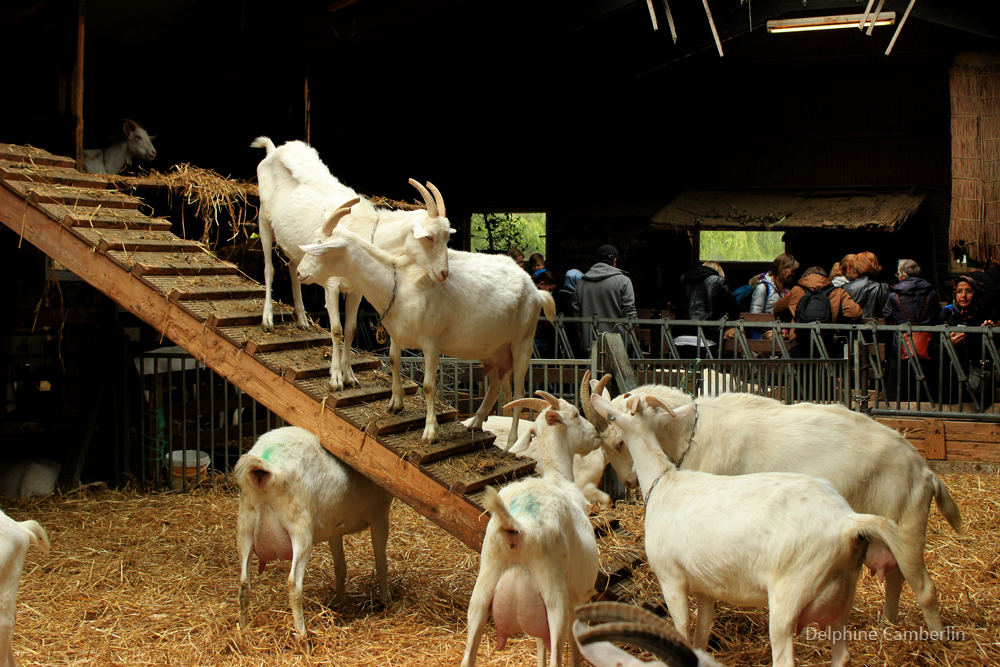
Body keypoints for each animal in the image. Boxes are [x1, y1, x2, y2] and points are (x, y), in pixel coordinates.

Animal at [235, 426, 394, 639]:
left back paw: (243, 630)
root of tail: (265, 470)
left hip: (245, 524)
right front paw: (386, 601)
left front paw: (338, 602)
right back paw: (302, 634)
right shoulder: (379, 517)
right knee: (293, 584)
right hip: (300, 528)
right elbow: (381, 563)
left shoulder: (334, 528)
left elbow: (340, 567)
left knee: (244, 582)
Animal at [251, 137, 454, 390]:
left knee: (292, 267)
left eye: (447, 237)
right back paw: (267, 319)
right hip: (264, 218)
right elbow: (337, 330)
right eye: (429, 237)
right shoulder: (331, 286)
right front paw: (336, 378)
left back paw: (302, 319)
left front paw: (350, 376)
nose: (443, 273)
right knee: (269, 268)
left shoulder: (357, 290)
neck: (366, 229)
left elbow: (351, 329)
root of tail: (273, 150)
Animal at [298, 218, 556, 447]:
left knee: (519, 392)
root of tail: (536, 291)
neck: (399, 284)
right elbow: (393, 360)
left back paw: (511, 442)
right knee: (494, 383)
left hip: (523, 342)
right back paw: (475, 422)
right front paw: (396, 404)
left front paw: (430, 432)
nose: (300, 273)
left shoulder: (431, 342)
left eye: (319, 247)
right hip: (492, 350)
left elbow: (429, 386)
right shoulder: (397, 334)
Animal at [461, 392, 600, 667]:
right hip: (554, 596)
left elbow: (539, 643)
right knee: (557, 651)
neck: (558, 477)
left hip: (482, 593)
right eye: (575, 414)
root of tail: (519, 526)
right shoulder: (577, 600)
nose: (596, 434)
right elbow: (573, 648)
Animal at [582, 376, 960, 633]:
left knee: (925, 589)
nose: (630, 482)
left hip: (908, 527)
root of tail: (924, 470)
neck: (693, 433)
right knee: (896, 578)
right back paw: (887, 624)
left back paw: (935, 640)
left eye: (619, 441)